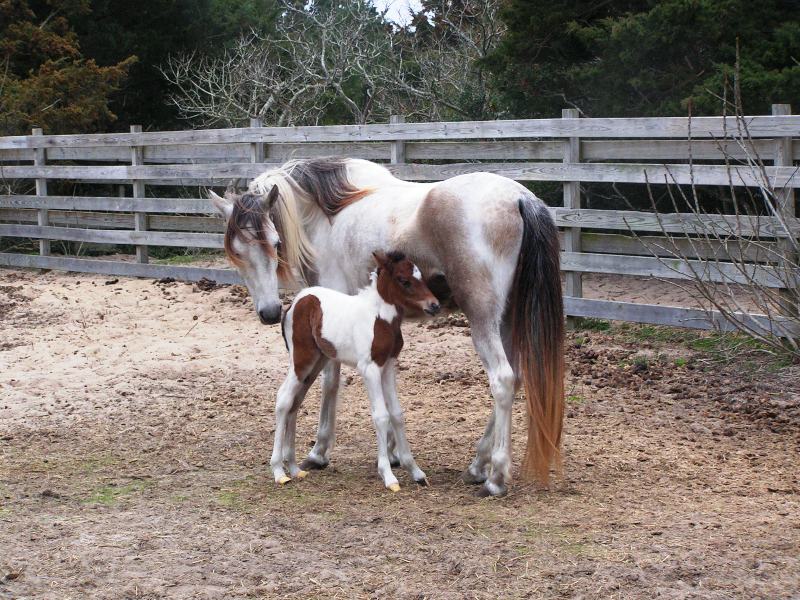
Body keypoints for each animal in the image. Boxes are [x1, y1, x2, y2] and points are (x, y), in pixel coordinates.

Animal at [274, 251, 438, 490]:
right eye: (403, 280)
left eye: (421, 277)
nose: (434, 305)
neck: (379, 318)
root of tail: (294, 303)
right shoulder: (370, 369)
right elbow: (381, 415)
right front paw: (388, 476)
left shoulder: (388, 366)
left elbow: (397, 414)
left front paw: (416, 472)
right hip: (301, 360)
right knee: (283, 399)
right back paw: (279, 471)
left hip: (316, 362)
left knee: (295, 403)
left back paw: (295, 469)